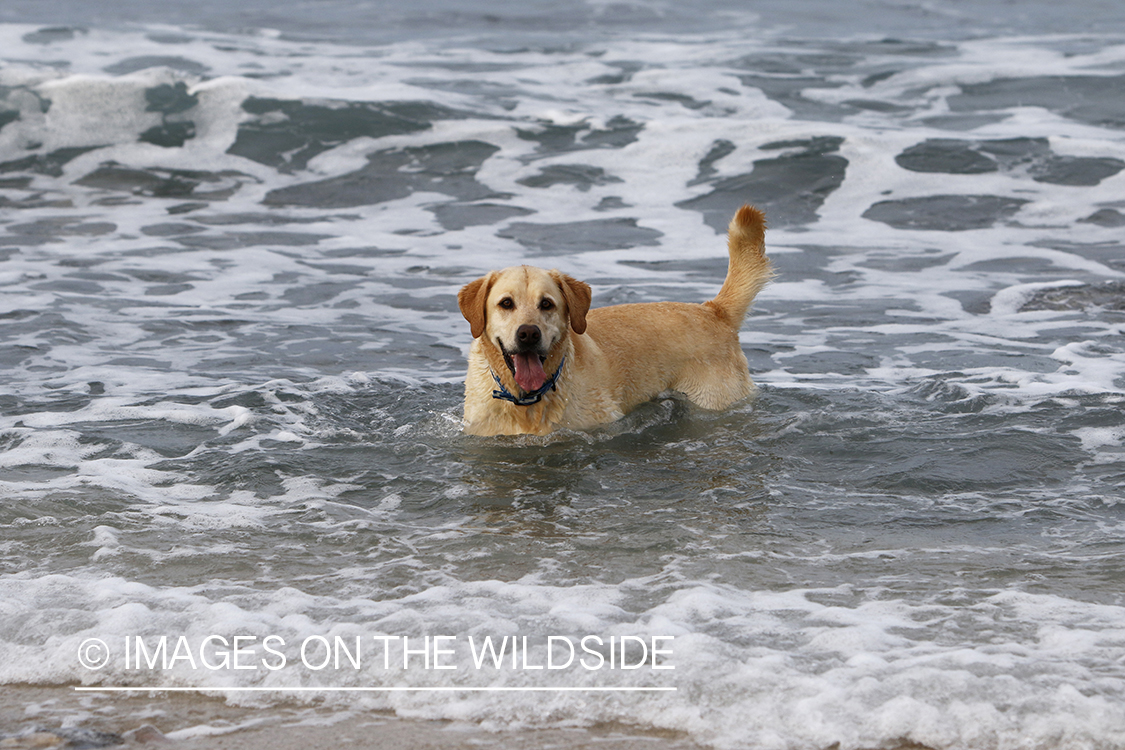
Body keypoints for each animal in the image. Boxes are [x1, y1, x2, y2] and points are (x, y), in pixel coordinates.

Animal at [456, 206, 774, 440]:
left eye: (546, 304)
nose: (528, 334)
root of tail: (713, 310)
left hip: (714, 399)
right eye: (506, 303)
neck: (527, 400)